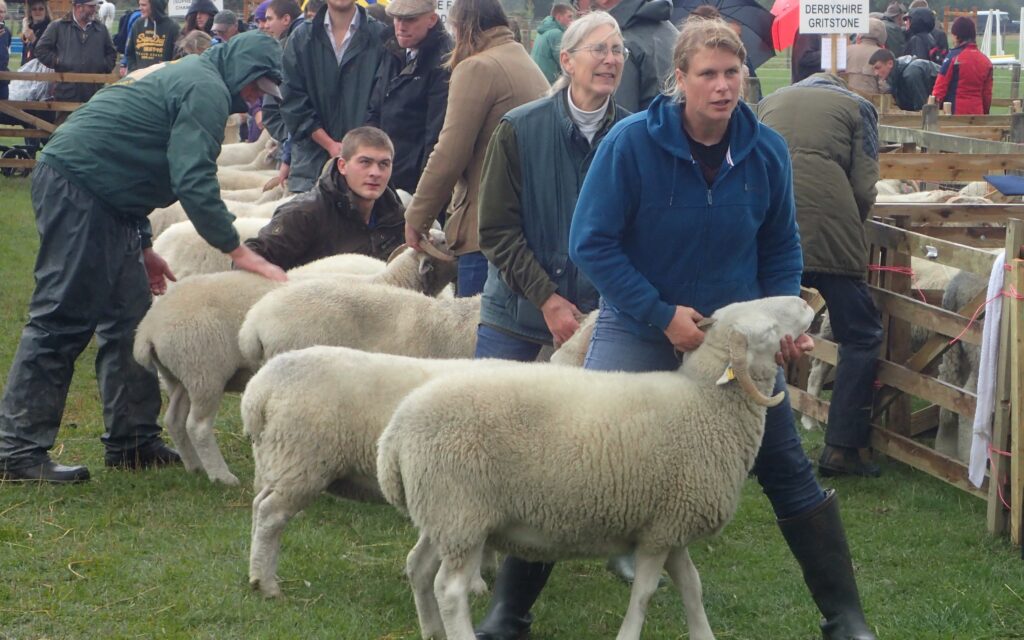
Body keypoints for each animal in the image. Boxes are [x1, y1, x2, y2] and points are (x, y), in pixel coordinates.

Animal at [133, 239, 456, 483]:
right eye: (444, 244)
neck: (392, 283)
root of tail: (148, 328)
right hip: (205, 372)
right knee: (197, 426)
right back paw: (221, 476)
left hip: (180, 376)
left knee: (174, 420)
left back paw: (195, 467)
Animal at [376, 294, 815, 638]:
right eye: (768, 329)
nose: (806, 303)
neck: (705, 402)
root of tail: (396, 430)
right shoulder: (659, 533)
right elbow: (645, 595)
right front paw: (629, 634)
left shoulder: (669, 524)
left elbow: (693, 586)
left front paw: (703, 634)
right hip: (461, 513)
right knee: (449, 591)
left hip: (444, 515)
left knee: (418, 568)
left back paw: (431, 631)